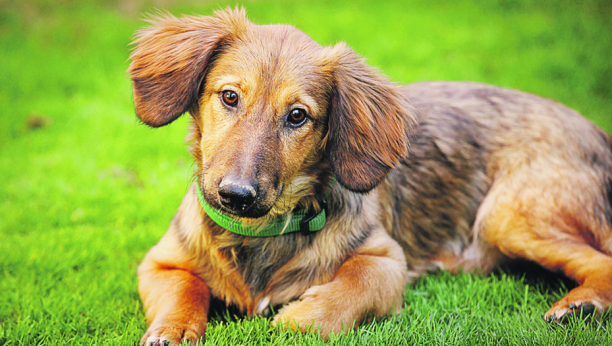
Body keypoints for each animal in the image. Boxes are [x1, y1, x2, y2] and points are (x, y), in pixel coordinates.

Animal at [128, 8, 612, 346]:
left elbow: (350, 286)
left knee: (601, 261)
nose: (236, 195)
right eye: (229, 96)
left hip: (509, 215)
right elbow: (183, 290)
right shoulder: (161, 261)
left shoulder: (386, 260)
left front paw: (299, 319)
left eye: (297, 116)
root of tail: (597, 132)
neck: (259, 234)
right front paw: (171, 330)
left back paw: (580, 304)